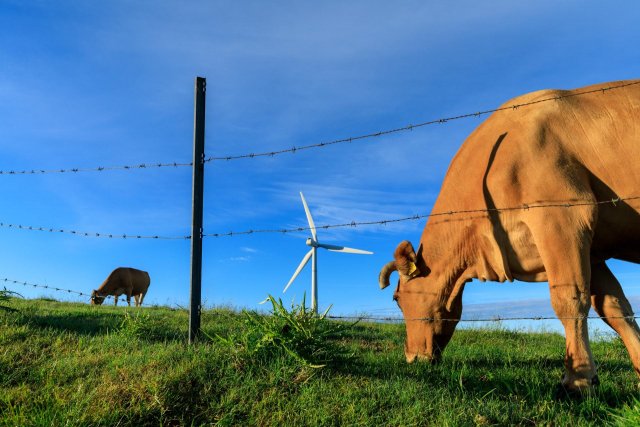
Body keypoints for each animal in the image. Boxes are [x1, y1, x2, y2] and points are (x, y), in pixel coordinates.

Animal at [378, 78, 640, 392]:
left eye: (396, 298)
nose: (411, 357)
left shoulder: (563, 216)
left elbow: (569, 298)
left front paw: (578, 380)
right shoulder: (591, 250)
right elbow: (614, 307)